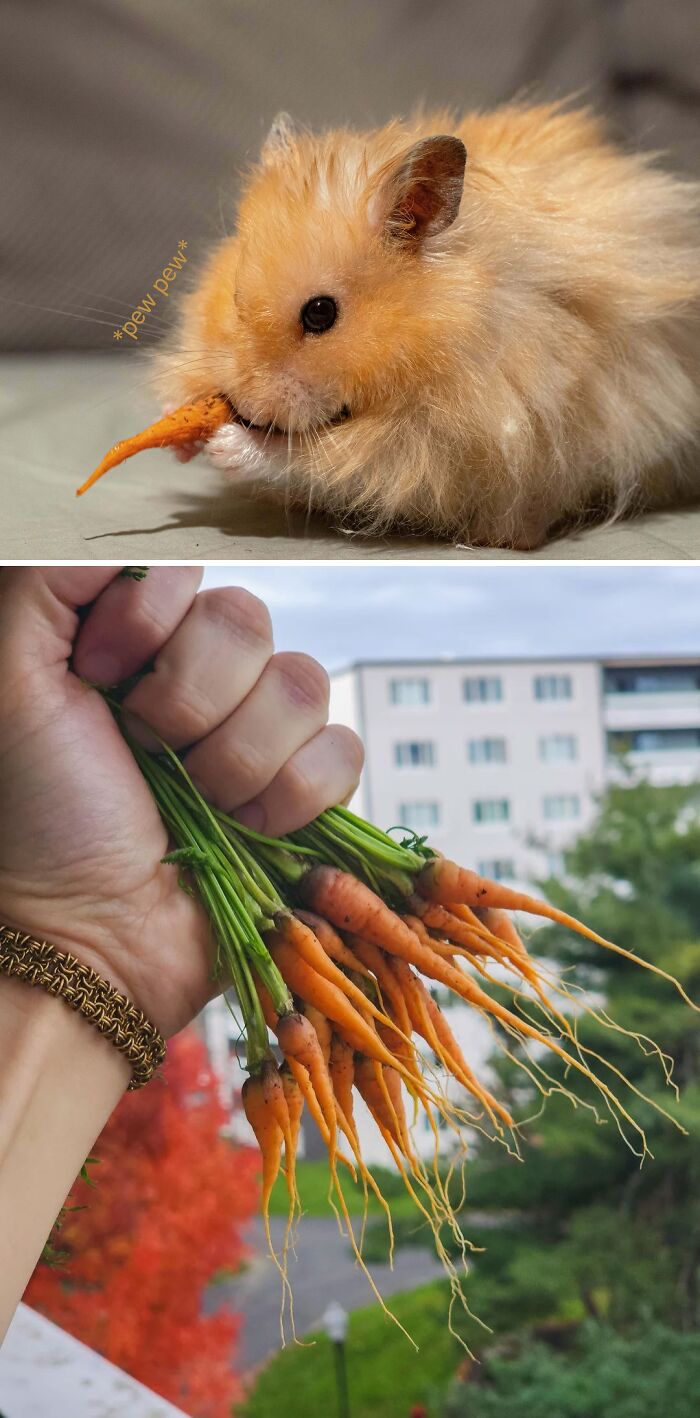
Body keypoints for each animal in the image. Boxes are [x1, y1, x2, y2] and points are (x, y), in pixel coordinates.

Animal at [155, 103, 700, 549]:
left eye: (320, 313)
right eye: (234, 297)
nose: (244, 406)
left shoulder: (452, 438)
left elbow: (328, 460)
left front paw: (227, 446)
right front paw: (182, 431)